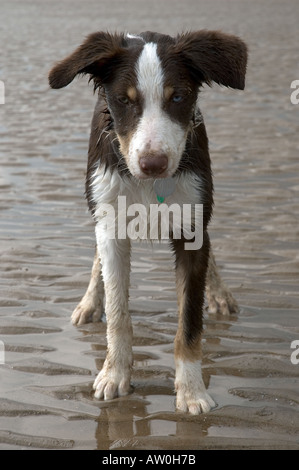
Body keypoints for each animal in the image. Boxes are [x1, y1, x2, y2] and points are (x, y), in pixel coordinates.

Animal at [49, 30, 247, 414]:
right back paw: (90, 302)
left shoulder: (192, 224)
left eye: (178, 96)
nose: (153, 163)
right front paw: (114, 374)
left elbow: (189, 320)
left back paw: (219, 294)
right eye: (124, 101)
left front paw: (192, 391)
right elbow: (117, 311)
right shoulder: (110, 223)